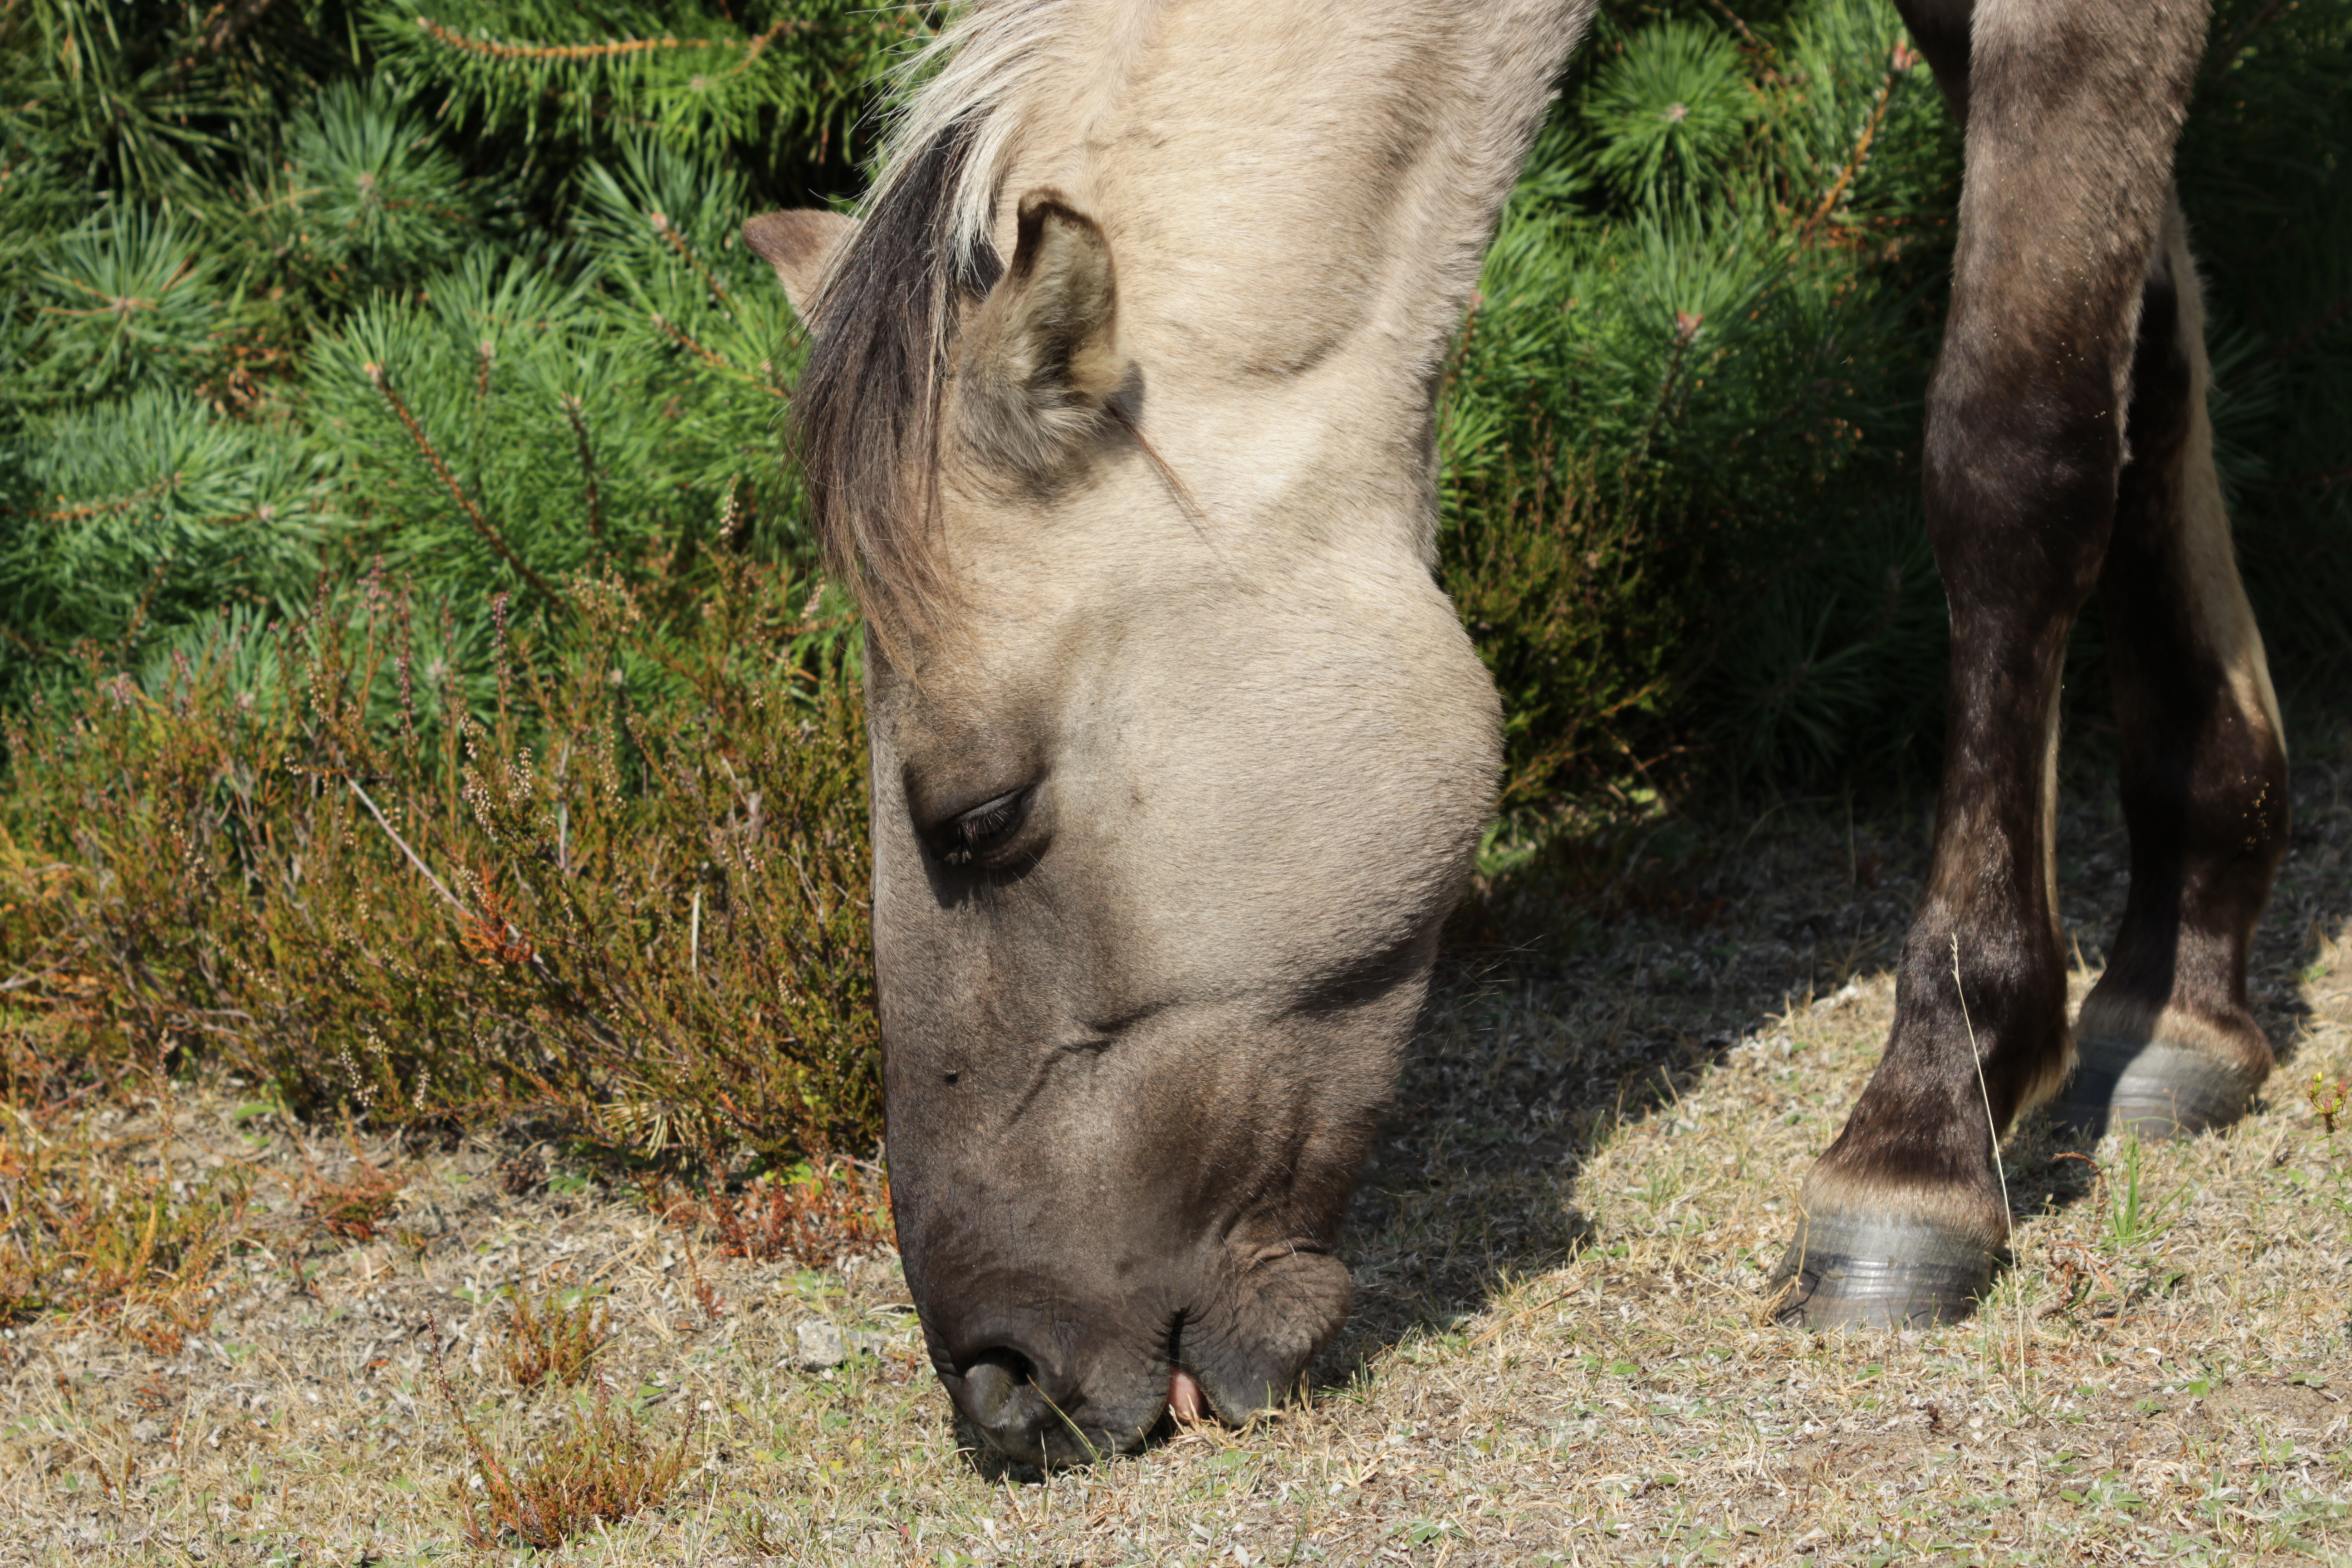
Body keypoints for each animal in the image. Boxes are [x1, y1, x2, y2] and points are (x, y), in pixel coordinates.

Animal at [743, 0, 2286, 1476]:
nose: (995, 1386)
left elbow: (2021, 456)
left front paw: (1933, 1123)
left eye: (980, 816)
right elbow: (2157, 380)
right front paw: (2187, 962)